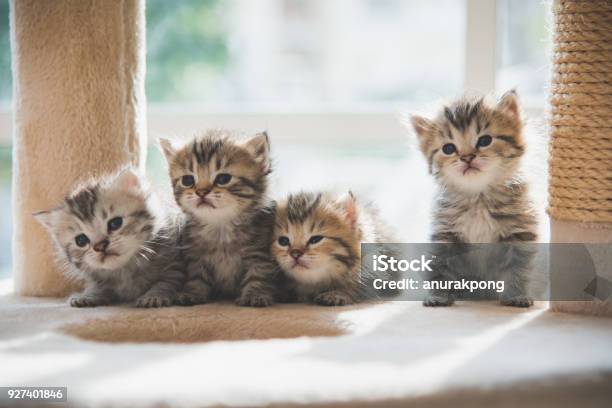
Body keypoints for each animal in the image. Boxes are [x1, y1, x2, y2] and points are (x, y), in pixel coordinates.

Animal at [33, 168, 184, 306]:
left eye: (115, 223)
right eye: (81, 240)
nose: (100, 246)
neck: (124, 270)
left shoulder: (174, 264)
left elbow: (166, 282)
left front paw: (154, 296)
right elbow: (98, 286)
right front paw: (88, 295)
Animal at [159, 130, 280, 306]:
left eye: (223, 179)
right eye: (188, 180)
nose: (201, 192)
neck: (220, 226)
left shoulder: (259, 253)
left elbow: (258, 275)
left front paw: (255, 294)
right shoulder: (195, 256)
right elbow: (197, 276)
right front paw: (192, 292)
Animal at [412, 89, 536, 306]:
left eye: (484, 141)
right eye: (448, 149)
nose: (467, 157)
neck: (478, 198)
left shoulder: (520, 231)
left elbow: (518, 268)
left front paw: (516, 295)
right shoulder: (445, 233)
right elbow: (440, 268)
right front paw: (438, 296)